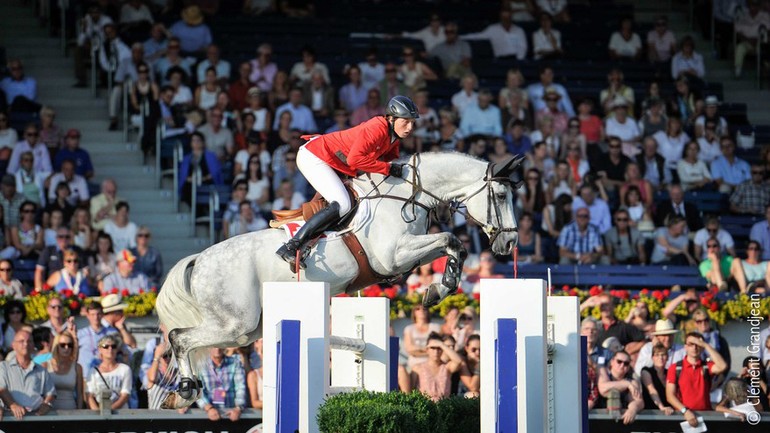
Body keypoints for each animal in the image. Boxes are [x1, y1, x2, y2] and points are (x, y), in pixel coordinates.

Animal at [155, 151, 520, 404]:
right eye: (502, 197)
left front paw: (438, 289)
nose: (510, 243)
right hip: (236, 323)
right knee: (179, 337)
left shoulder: (409, 251)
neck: (409, 195)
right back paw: (187, 388)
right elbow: (451, 239)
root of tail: (199, 259)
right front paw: (439, 288)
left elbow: (450, 246)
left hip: (248, 327)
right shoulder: (394, 255)